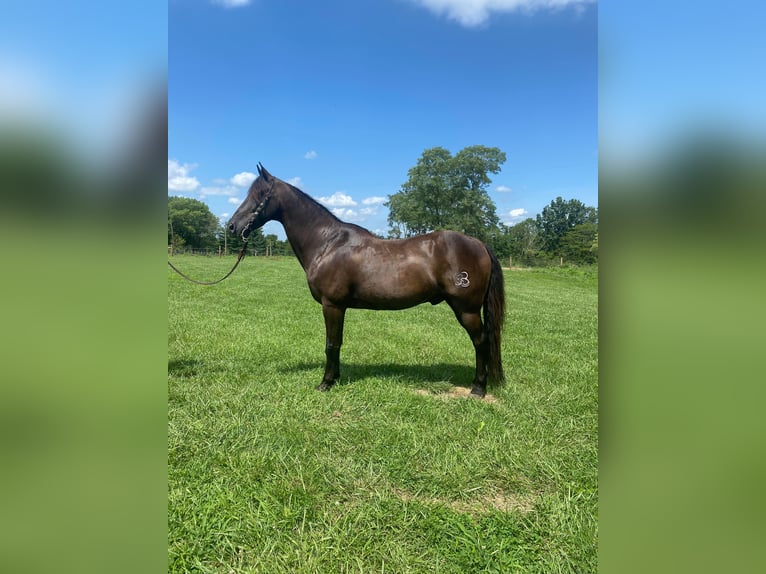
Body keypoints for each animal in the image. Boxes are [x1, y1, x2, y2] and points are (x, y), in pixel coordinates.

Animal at [226, 164, 504, 398]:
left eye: (258, 196)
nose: (231, 226)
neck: (327, 243)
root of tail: (479, 243)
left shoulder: (332, 305)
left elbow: (331, 343)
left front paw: (325, 383)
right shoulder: (339, 307)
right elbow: (337, 343)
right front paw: (335, 378)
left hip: (466, 310)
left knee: (481, 342)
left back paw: (478, 389)